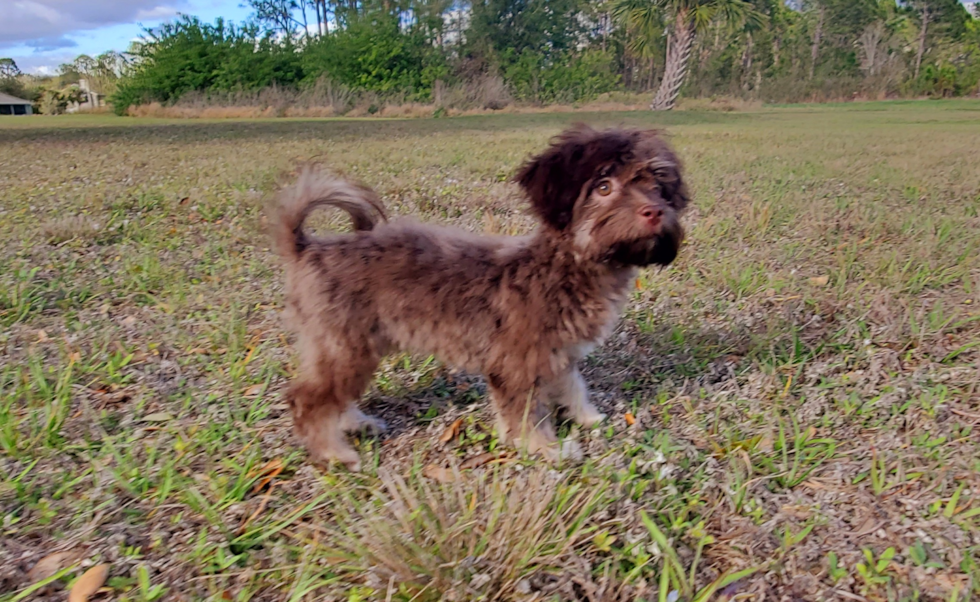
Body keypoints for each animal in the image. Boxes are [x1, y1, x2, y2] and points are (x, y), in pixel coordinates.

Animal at [272, 123, 692, 468]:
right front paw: (545, 448)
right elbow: (526, 414)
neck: (566, 267)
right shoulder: (517, 363)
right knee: (307, 400)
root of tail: (308, 247)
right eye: (604, 187)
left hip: (349, 348)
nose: (655, 210)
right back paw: (334, 453)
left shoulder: (559, 354)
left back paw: (354, 424)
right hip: (346, 345)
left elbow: (573, 385)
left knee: (334, 394)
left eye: (657, 186)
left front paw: (586, 416)